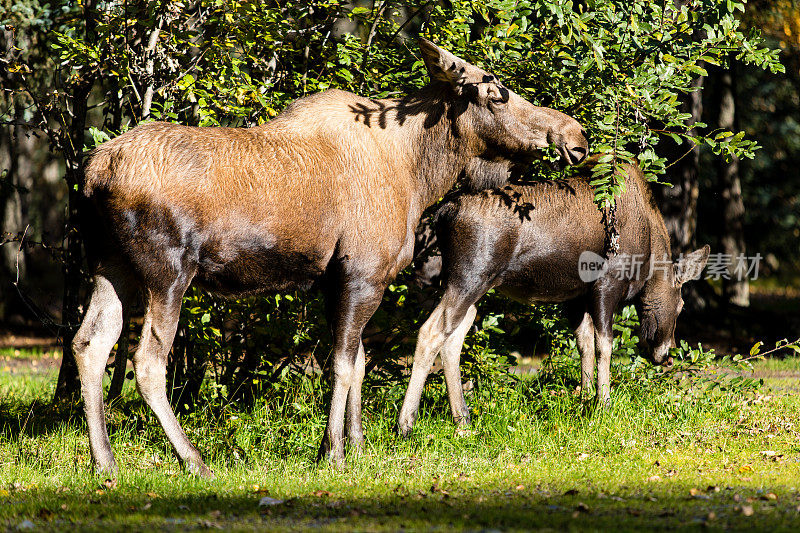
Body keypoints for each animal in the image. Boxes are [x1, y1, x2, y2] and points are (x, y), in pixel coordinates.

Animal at [73, 39, 588, 476]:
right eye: (497, 94)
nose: (575, 134)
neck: (421, 173)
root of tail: (93, 173)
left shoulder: (338, 279)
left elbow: (357, 361)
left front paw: (356, 443)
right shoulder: (363, 273)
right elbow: (341, 364)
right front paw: (333, 451)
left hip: (110, 266)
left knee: (89, 344)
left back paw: (105, 463)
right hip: (168, 273)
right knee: (146, 361)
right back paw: (193, 460)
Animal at [396, 155, 708, 436]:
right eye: (681, 305)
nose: (667, 354)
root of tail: (442, 214)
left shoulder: (576, 297)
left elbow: (584, 345)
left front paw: (584, 398)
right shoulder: (607, 284)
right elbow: (605, 345)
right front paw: (604, 403)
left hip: (470, 284)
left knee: (453, 339)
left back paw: (462, 421)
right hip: (469, 277)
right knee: (430, 332)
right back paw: (406, 424)